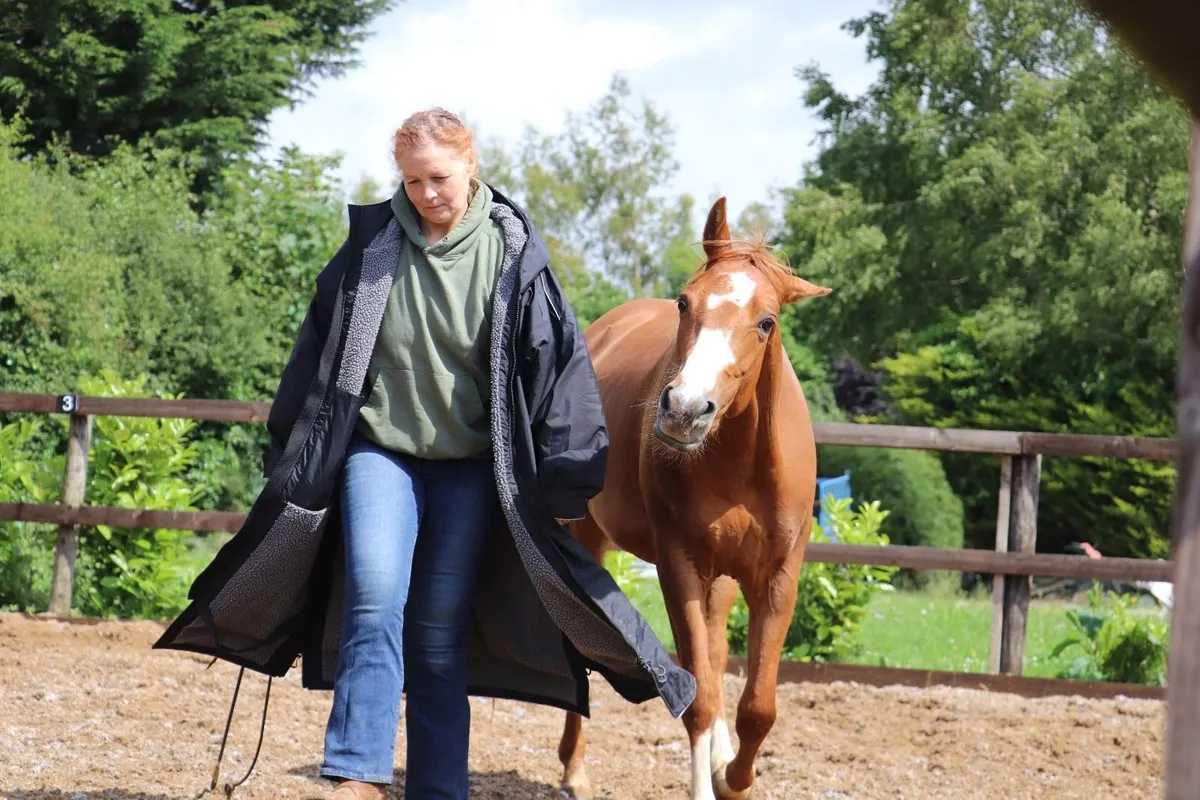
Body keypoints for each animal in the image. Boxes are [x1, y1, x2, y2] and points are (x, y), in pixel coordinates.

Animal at [557, 196, 831, 800]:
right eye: (685, 302)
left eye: (766, 321)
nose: (685, 409)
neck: (742, 464)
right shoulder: (678, 564)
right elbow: (698, 696)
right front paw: (711, 781)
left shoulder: (778, 576)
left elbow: (758, 706)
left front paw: (733, 777)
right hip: (585, 536)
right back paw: (574, 768)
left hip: (723, 577)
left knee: (716, 650)